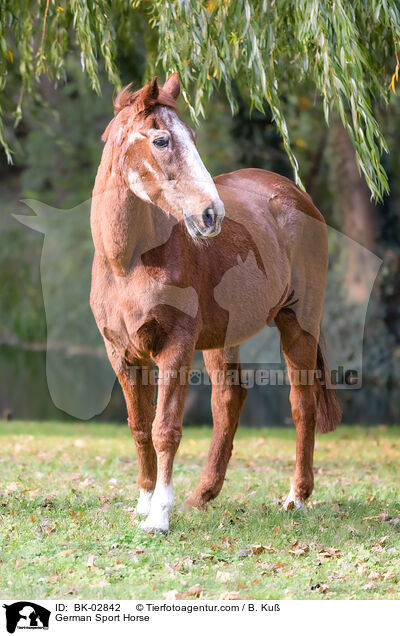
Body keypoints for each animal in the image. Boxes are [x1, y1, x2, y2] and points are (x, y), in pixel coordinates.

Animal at [90, 73, 340, 532]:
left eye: (191, 136)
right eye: (162, 140)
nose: (211, 215)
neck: (128, 262)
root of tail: (297, 196)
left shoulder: (175, 346)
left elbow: (165, 429)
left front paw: (159, 517)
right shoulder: (122, 353)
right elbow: (139, 427)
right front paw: (145, 502)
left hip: (298, 323)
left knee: (302, 405)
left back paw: (296, 496)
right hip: (223, 337)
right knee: (229, 399)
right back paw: (203, 494)